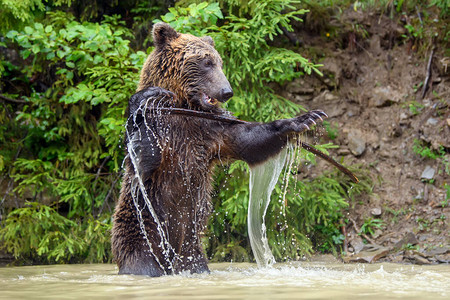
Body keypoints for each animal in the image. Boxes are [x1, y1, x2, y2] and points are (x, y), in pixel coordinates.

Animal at [110, 22, 326, 276]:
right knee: (142, 259)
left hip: (192, 249)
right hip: (142, 236)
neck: (185, 109)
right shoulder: (167, 132)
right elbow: (142, 162)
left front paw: (304, 118)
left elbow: (248, 140)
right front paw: (145, 99)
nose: (226, 91)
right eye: (206, 62)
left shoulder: (212, 131)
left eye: (219, 62)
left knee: (195, 262)